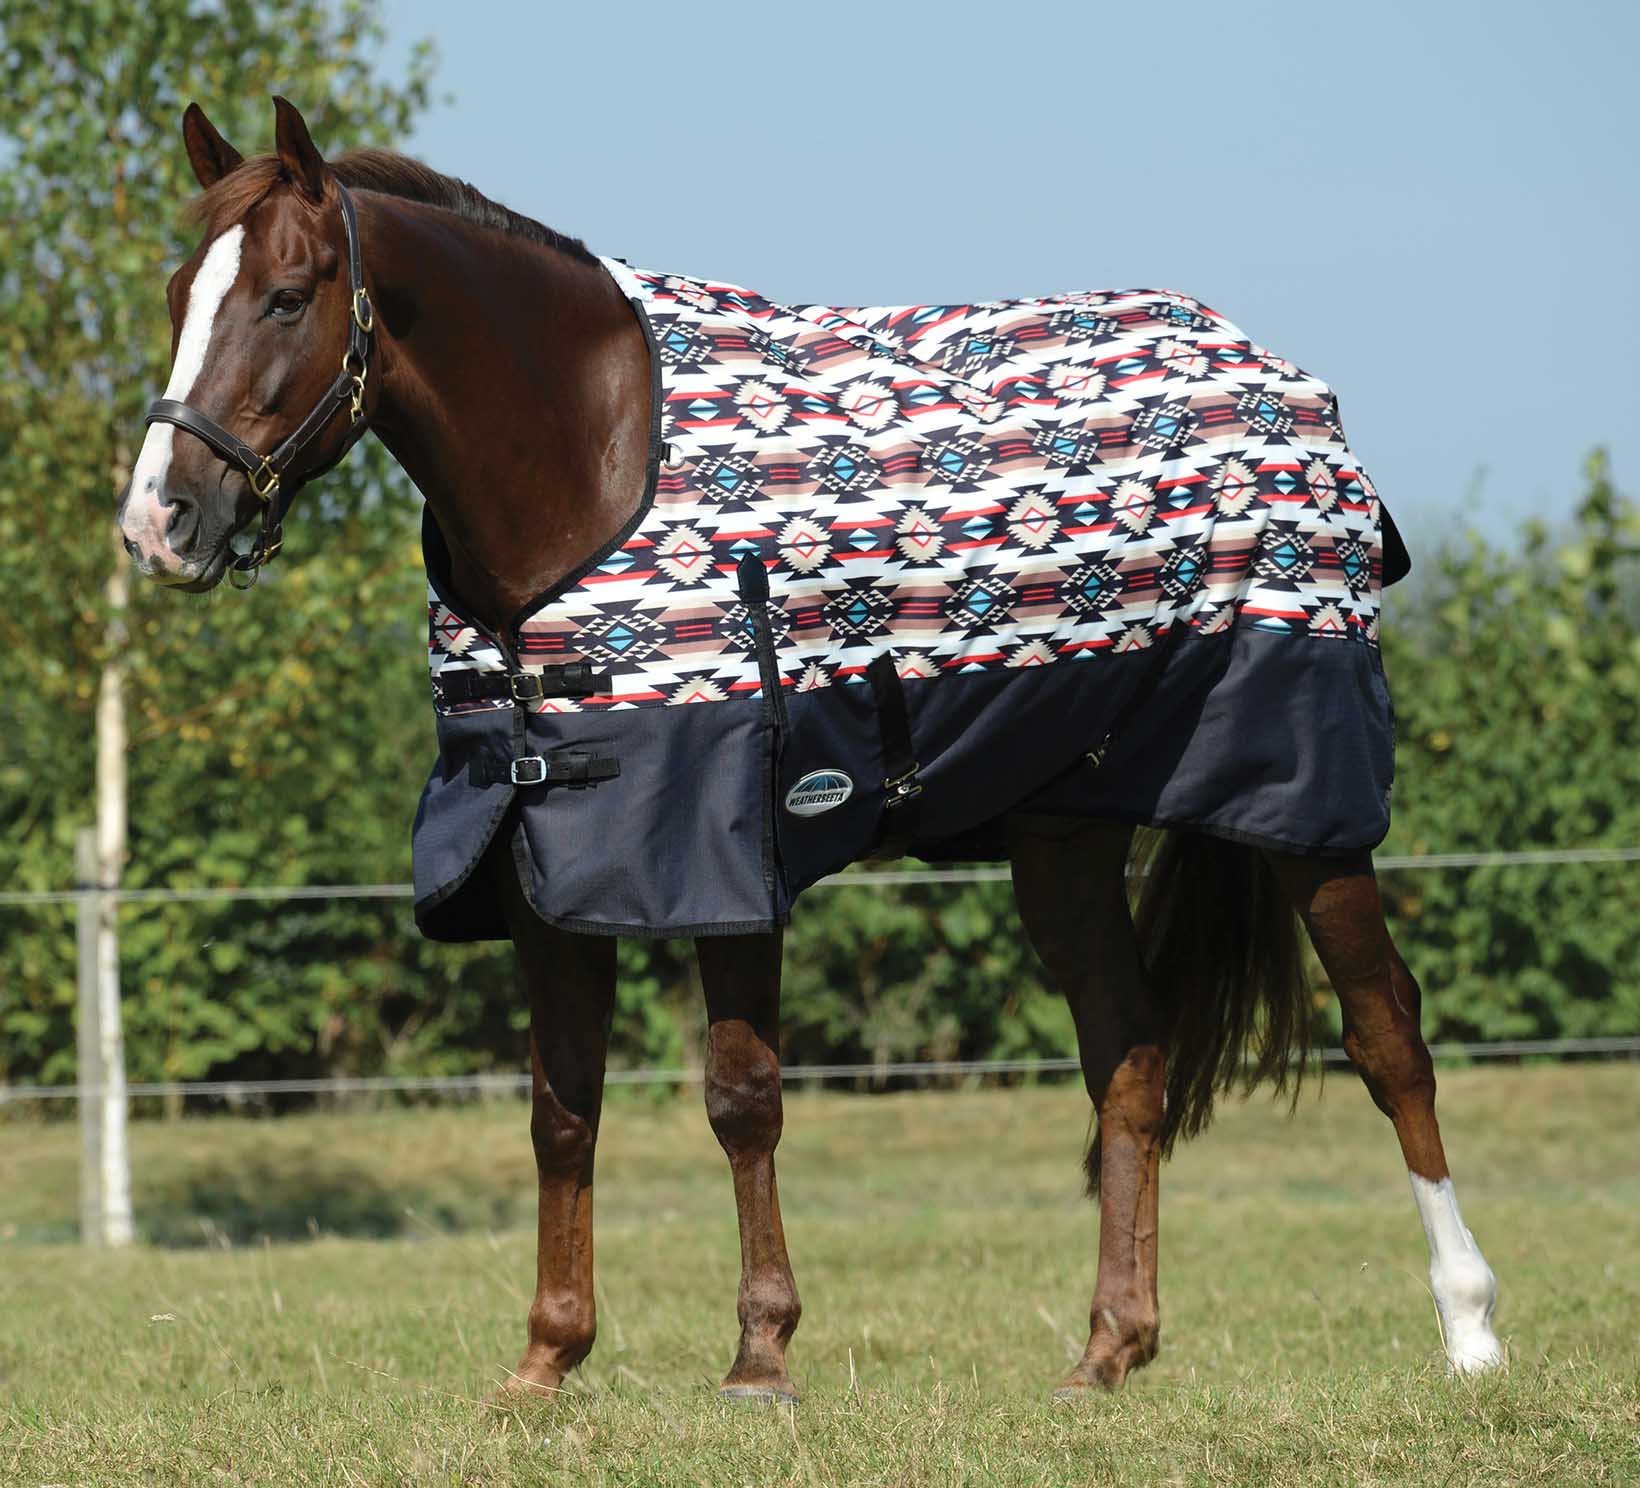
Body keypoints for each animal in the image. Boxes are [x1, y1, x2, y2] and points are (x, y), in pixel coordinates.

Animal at [118, 95, 1504, 1401]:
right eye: (180, 295)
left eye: (287, 295)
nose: (158, 523)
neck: (590, 461)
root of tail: (1290, 384)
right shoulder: (538, 855)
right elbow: (561, 1114)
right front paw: (546, 1361)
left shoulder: (727, 849)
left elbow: (741, 1099)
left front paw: (759, 1356)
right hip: (1064, 830)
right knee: (1130, 1055)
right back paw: (1108, 1350)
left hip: (1308, 805)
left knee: (1387, 1037)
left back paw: (1470, 1333)